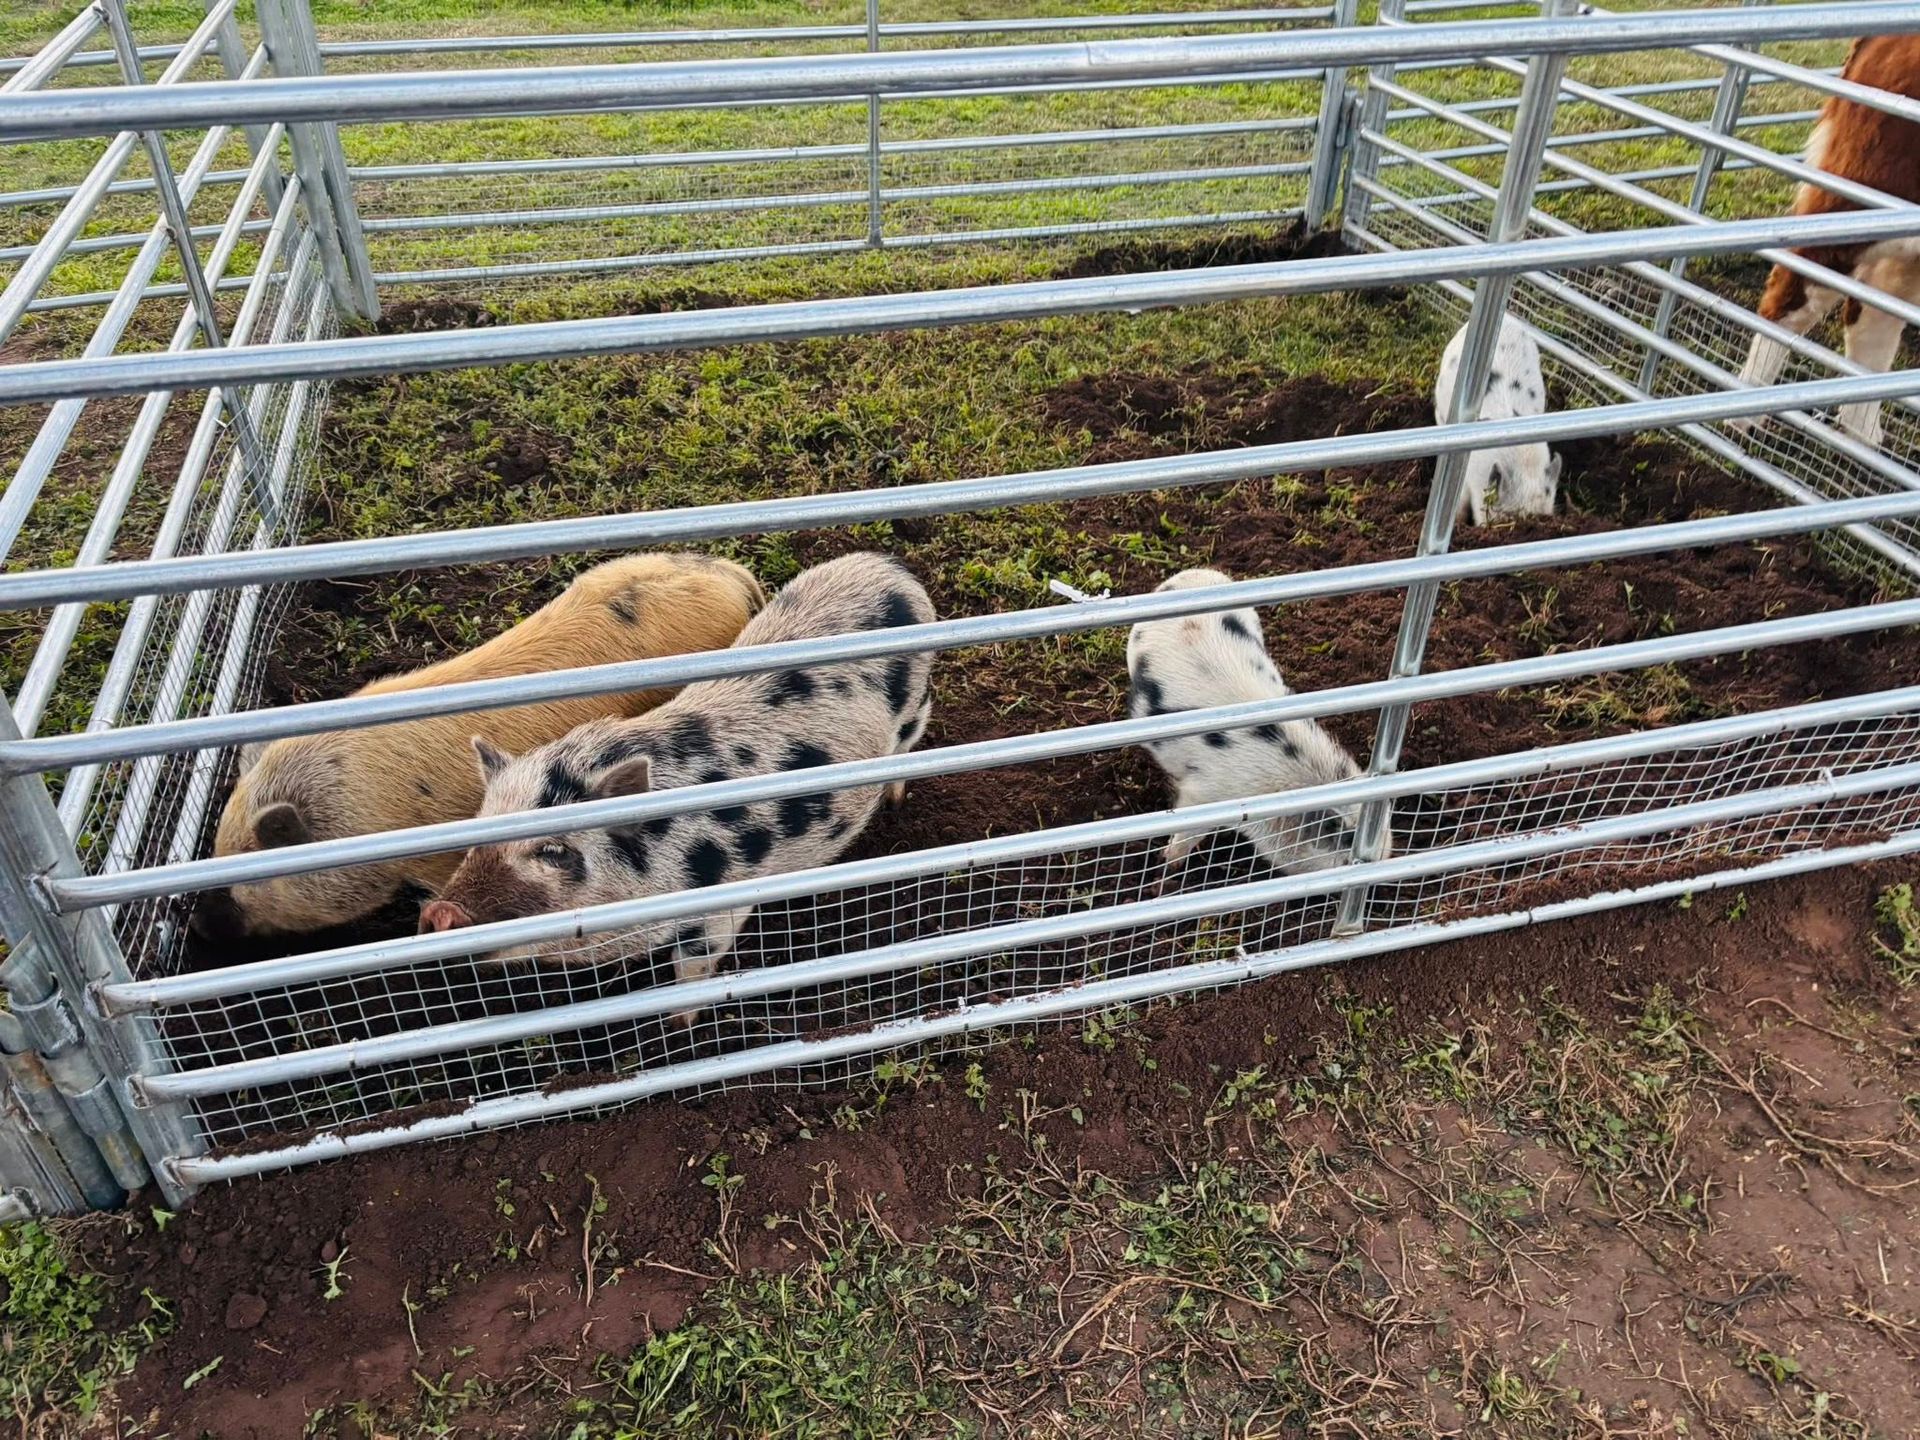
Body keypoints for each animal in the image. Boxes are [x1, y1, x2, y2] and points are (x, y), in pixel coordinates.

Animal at [418, 552, 935, 1005]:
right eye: (476, 834)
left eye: (553, 852)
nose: (440, 911)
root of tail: (886, 565)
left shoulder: (722, 905)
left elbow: (695, 963)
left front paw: (679, 1020)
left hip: (916, 705)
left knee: (908, 744)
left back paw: (894, 796)